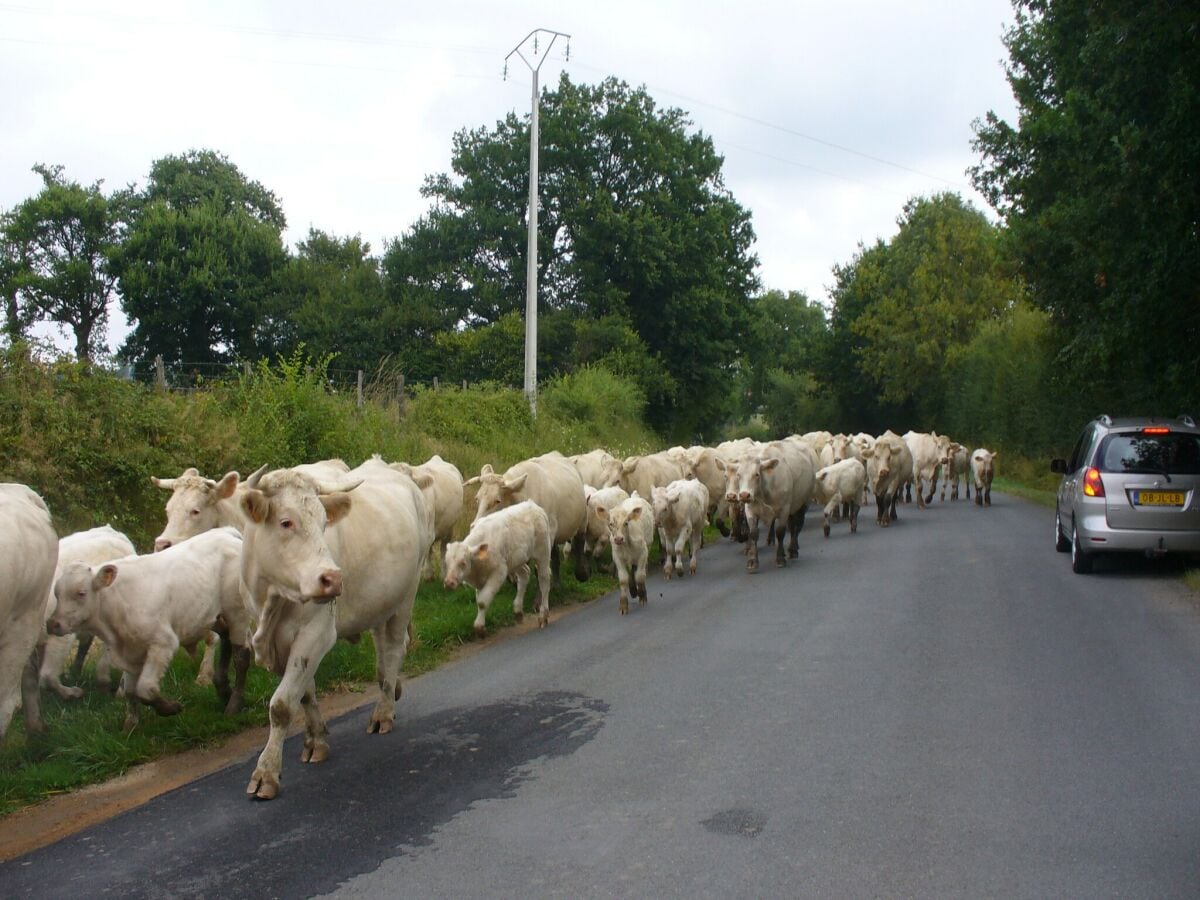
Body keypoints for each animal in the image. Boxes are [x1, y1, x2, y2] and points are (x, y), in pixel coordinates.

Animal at [236, 460, 434, 801]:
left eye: (323, 523)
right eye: (286, 522)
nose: (333, 579)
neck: (272, 601)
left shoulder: (316, 632)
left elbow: (281, 705)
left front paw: (266, 773)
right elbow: (304, 693)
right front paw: (315, 739)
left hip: (406, 595)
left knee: (395, 647)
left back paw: (383, 711)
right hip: (380, 601)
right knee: (383, 651)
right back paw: (390, 687)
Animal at [441, 501, 552, 643]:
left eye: (463, 563)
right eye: (446, 562)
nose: (449, 582)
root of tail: (532, 504)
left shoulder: (499, 572)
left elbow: (482, 602)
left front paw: (479, 628)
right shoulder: (480, 580)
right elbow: (479, 600)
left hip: (542, 552)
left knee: (544, 581)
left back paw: (543, 615)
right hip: (515, 560)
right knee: (525, 574)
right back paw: (518, 611)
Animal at [720, 441, 816, 573]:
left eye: (756, 474)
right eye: (738, 475)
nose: (744, 495)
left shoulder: (784, 509)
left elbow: (780, 532)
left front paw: (780, 559)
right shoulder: (750, 510)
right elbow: (753, 533)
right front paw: (752, 561)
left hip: (803, 503)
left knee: (796, 527)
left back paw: (793, 550)